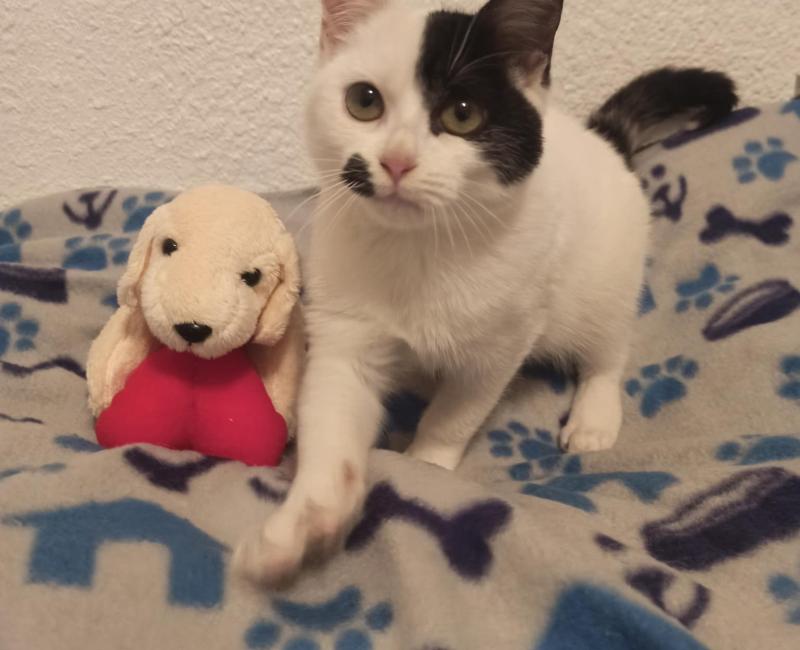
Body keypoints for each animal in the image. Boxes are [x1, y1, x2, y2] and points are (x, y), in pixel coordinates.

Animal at [235, 0, 736, 584]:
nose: (398, 160)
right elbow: (332, 419)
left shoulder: (504, 342)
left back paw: (595, 414)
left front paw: (425, 464)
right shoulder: (344, 330)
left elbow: (458, 411)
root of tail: (601, 139)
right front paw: (302, 523)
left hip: (606, 278)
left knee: (609, 348)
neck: (419, 251)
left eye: (463, 115)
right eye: (364, 101)